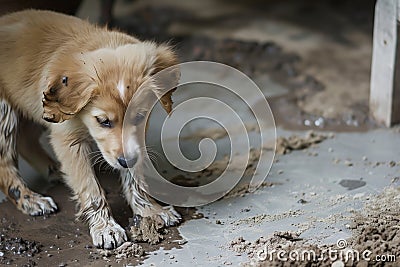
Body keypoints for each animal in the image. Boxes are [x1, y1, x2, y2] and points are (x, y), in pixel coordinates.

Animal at [0, 9, 181, 249]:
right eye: (103, 121)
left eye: (140, 116)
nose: (126, 161)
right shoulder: (67, 139)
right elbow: (90, 188)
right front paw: (105, 228)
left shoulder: (134, 142)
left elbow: (135, 179)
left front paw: (150, 210)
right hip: (4, 110)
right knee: (5, 163)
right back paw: (30, 199)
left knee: (26, 140)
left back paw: (56, 171)